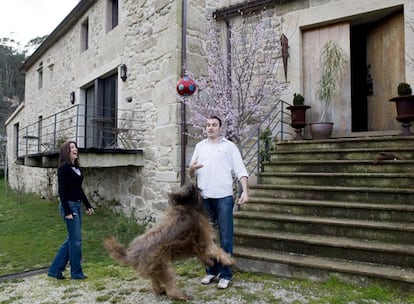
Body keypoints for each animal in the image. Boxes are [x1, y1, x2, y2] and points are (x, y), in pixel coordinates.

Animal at [103, 182, 234, 300]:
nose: (197, 186)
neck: (186, 208)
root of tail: (131, 255)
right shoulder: (204, 240)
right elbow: (217, 251)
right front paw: (229, 260)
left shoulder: (197, 246)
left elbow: (204, 255)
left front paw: (210, 262)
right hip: (164, 267)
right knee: (170, 288)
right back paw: (182, 296)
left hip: (155, 268)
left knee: (155, 282)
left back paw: (160, 291)